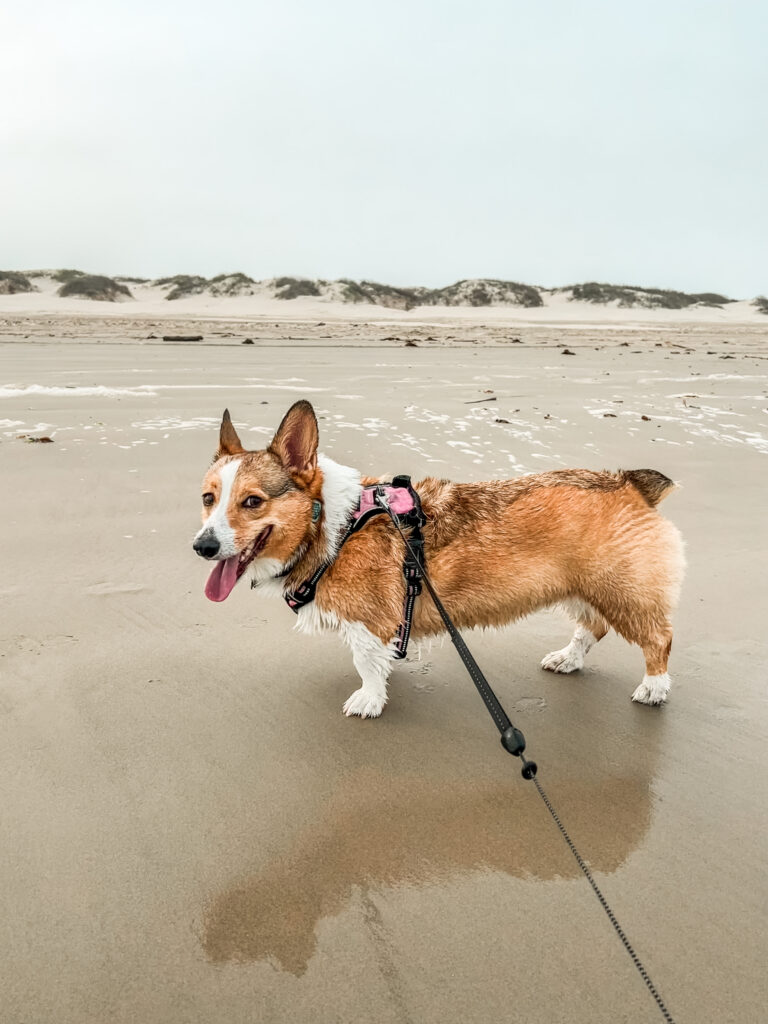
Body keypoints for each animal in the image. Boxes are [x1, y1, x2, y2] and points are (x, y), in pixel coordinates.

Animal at [192, 403, 684, 716]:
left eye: (252, 502)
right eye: (208, 499)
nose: (202, 547)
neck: (331, 524)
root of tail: (630, 482)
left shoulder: (367, 621)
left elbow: (365, 664)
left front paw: (368, 701)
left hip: (621, 590)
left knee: (658, 638)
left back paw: (654, 688)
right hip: (582, 587)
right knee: (592, 627)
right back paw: (567, 659)